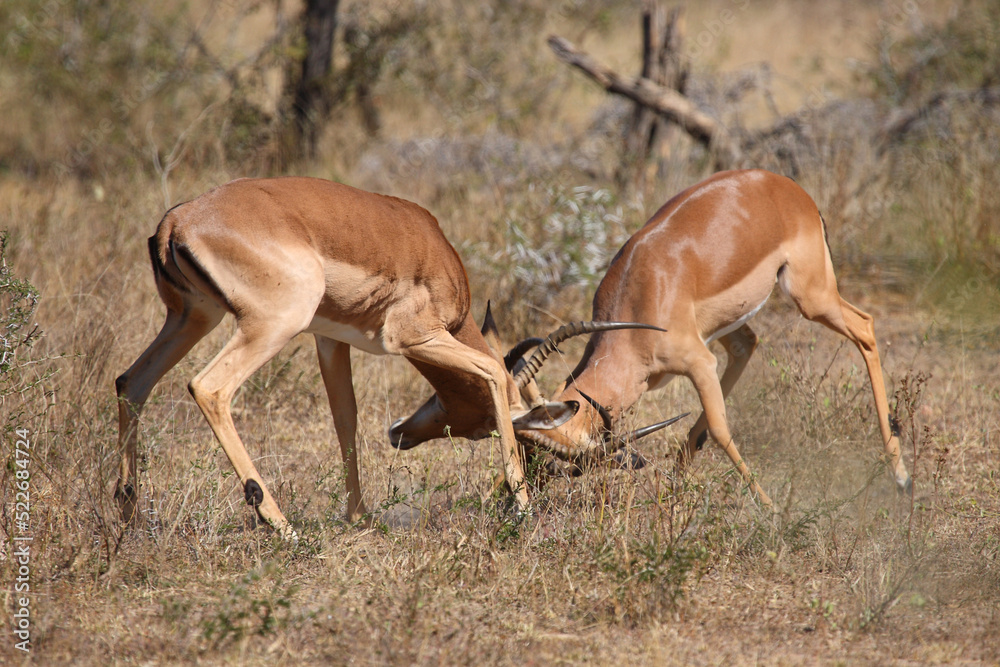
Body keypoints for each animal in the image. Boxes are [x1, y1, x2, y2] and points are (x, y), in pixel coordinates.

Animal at [114, 176, 664, 540]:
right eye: (482, 427)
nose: (400, 436)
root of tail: (177, 221)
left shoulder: (329, 338)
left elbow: (345, 416)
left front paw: (359, 517)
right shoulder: (412, 337)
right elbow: (489, 369)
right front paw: (522, 505)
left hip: (192, 318)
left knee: (130, 381)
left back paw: (127, 514)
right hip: (267, 325)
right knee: (208, 387)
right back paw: (282, 527)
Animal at [511, 169, 912, 506]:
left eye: (546, 458)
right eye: (519, 450)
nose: (518, 497)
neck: (641, 294)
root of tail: (788, 187)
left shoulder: (699, 361)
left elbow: (721, 429)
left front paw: (770, 508)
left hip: (811, 297)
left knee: (865, 327)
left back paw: (902, 478)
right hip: (736, 321)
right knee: (747, 346)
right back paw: (674, 482)